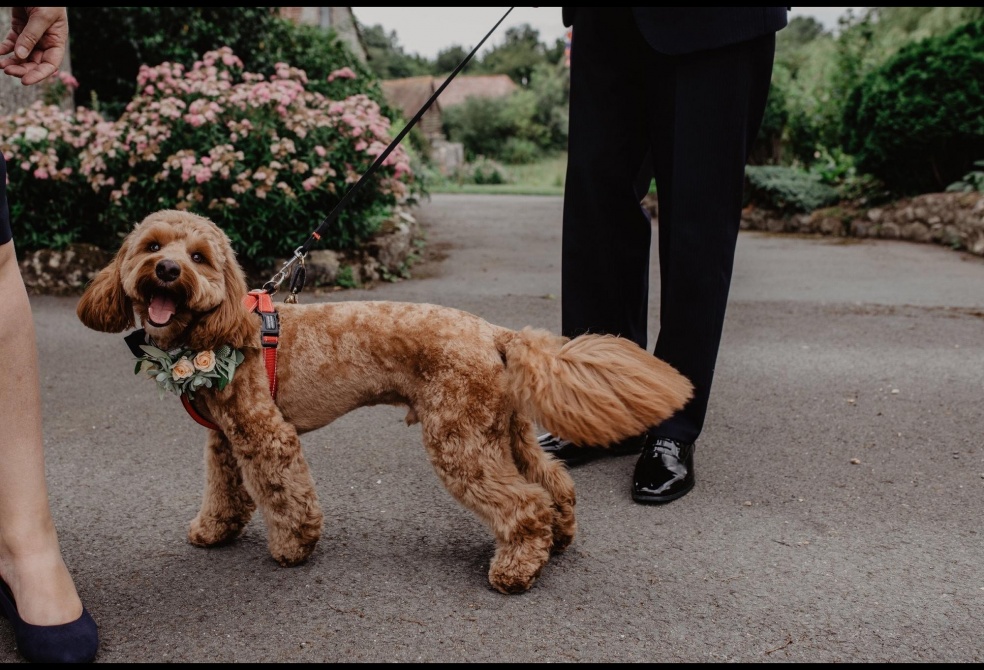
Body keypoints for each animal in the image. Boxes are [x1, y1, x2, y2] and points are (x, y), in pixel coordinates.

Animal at [77, 210, 692, 592]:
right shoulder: (226, 439)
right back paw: (557, 542)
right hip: (503, 429)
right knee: (552, 484)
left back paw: (515, 570)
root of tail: (494, 333)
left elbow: (285, 496)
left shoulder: (266, 435)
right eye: (152, 246)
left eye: (200, 257)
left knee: (523, 503)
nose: (168, 269)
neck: (217, 330)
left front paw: (293, 548)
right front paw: (213, 532)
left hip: (458, 436)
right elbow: (225, 492)